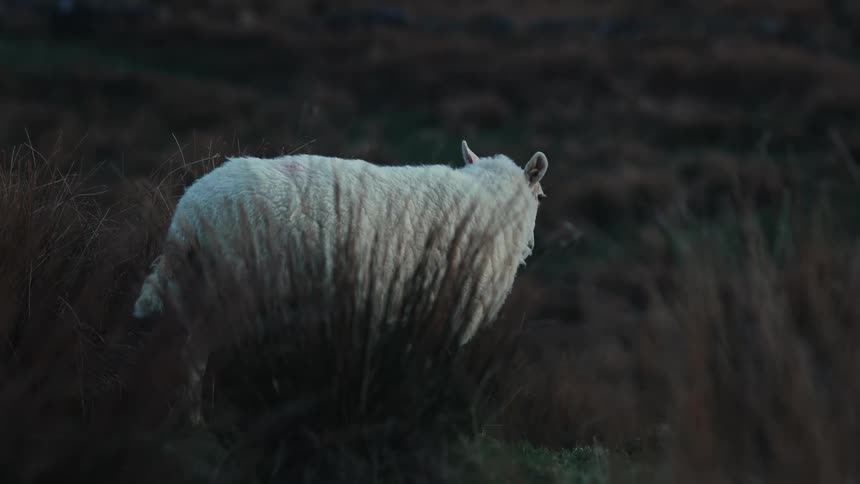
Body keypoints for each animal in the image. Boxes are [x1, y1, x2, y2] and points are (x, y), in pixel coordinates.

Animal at [133, 140, 548, 423]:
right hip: (228, 292)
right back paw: (197, 419)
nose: (531, 247)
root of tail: (187, 218)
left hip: (200, 293)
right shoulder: (454, 313)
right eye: (542, 195)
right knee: (195, 357)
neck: (493, 202)